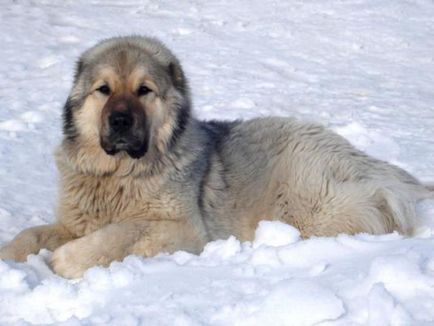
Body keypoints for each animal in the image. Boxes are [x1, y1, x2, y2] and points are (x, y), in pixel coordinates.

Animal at [0, 37, 430, 278]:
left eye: (143, 90)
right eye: (103, 90)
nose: (120, 120)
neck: (121, 175)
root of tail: (367, 160)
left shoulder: (182, 229)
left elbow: (119, 233)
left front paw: (63, 261)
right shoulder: (75, 220)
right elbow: (31, 234)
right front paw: (10, 256)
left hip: (311, 207)